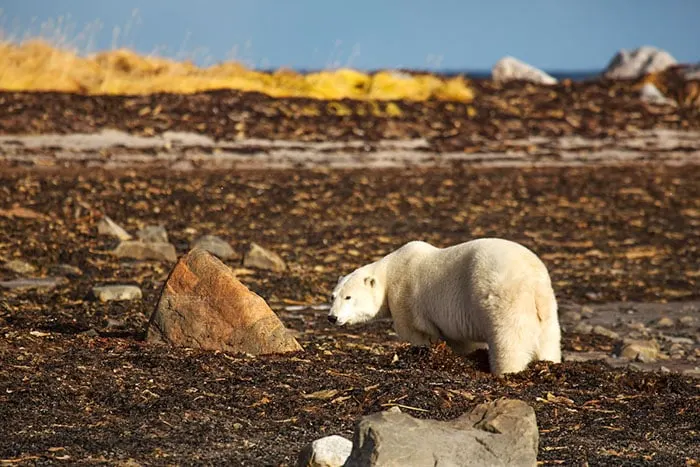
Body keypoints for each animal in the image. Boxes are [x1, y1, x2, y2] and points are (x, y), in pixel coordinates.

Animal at [328, 238, 564, 376]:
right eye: (333, 296)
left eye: (348, 297)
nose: (332, 317)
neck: (391, 270)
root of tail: (533, 282)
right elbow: (461, 340)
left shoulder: (406, 299)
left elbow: (416, 333)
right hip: (547, 306)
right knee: (549, 340)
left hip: (503, 298)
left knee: (509, 340)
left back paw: (506, 372)